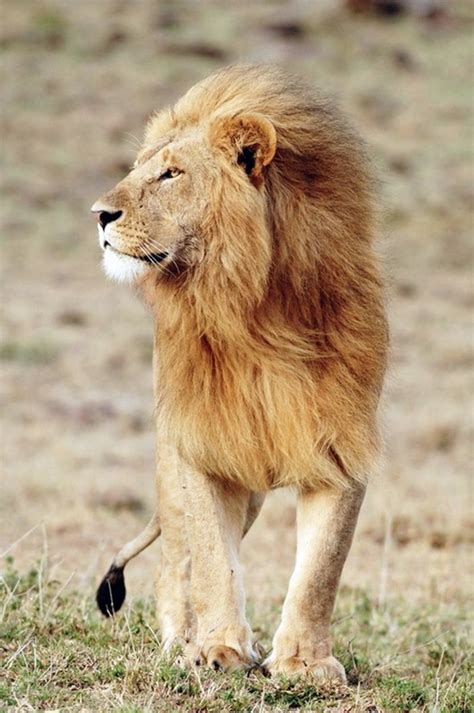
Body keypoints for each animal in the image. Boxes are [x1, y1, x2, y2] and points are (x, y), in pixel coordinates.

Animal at [92, 64, 388, 682]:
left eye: (171, 173)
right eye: (138, 169)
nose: (99, 214)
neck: (259, 309)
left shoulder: (343, 443)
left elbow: (321, 569)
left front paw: (304, 663)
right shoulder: (200, 439)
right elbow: (210, 558)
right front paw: (218, 650)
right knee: (175, 561)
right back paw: (181, 641)